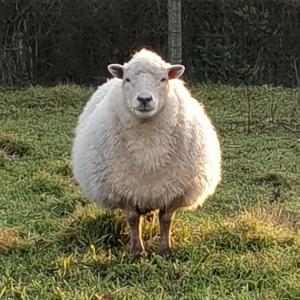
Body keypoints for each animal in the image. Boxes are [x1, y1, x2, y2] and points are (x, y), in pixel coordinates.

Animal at [72, 49, 221, 260]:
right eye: (127, 79)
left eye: (163, 79)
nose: (144, 99)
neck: (148, 150)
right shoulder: (124, 189)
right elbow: (134, 220)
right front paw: (137, 252)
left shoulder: (174, 190)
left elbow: (165, 219)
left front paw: (165, 250)